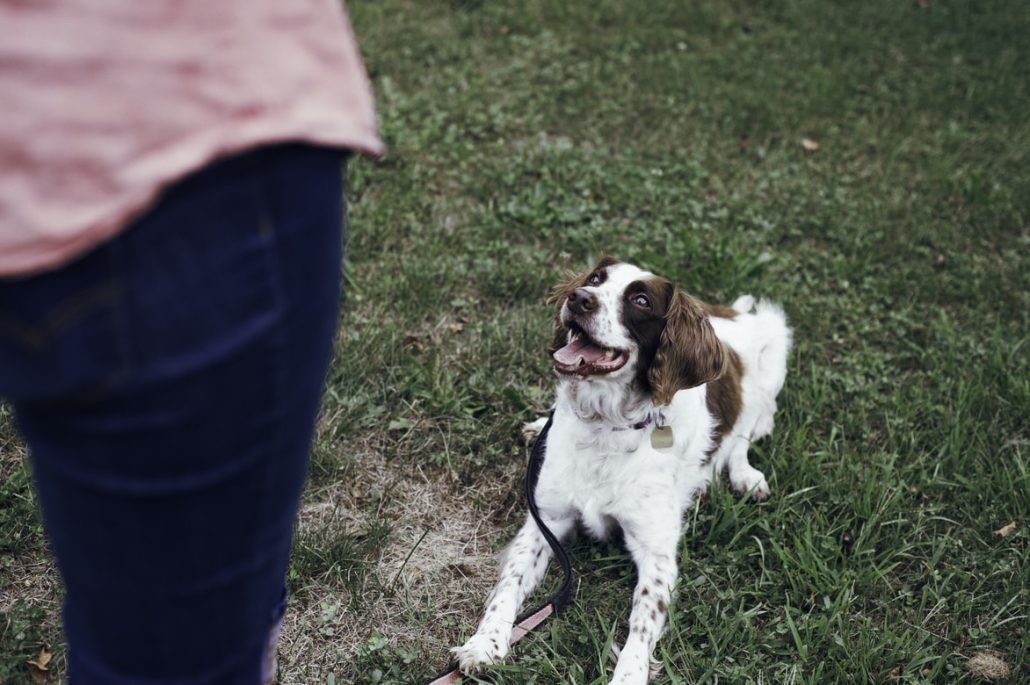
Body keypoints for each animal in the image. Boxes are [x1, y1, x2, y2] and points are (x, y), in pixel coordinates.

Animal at [453, 257, 795, 683]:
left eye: (641, 300)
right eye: (595, 279)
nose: (578, 298)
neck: (605, 425)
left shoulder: (657, 553)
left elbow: (642, 621)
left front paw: (628, 674)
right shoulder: (546, 520)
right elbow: (508, 585)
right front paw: (484, 643)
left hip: (774, 349)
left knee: (746, 433)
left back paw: (746, 476)